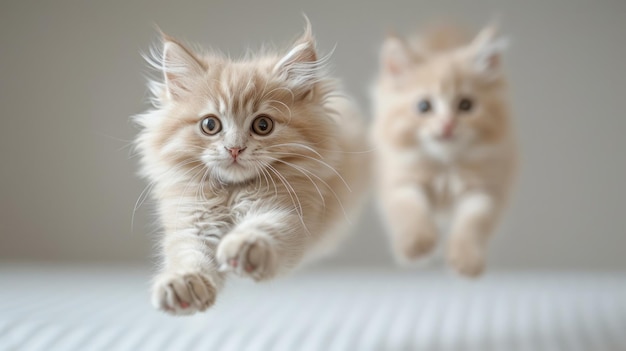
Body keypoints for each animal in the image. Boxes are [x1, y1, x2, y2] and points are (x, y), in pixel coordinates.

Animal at [131, 23, 366, 314]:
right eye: (210, 125)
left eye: (262, 125)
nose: (234, 149)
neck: (232, 192)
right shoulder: (191, 222)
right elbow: (188, 255)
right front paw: (183, 283)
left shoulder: (287, 212)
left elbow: (264, 229)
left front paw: (245, 246)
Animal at [370, 24, 516, 278]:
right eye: (423, 106)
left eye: (466, 105)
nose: (448, 124)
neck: (446, 167)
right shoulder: (400, 180)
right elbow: (410, 209)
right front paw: (417, 244)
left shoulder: (485, 190)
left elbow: (472, 224)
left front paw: (467, 260)